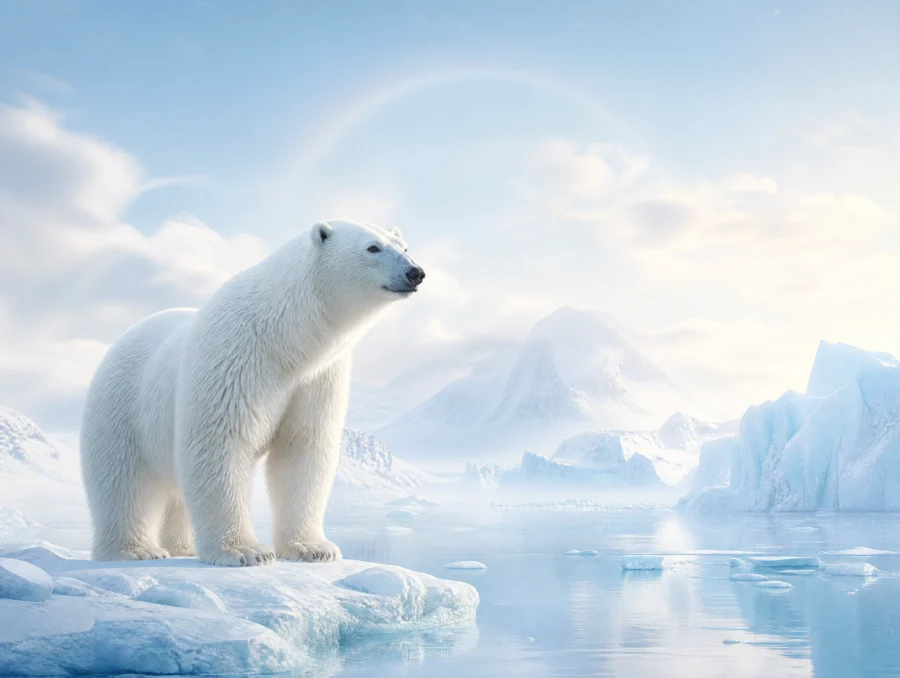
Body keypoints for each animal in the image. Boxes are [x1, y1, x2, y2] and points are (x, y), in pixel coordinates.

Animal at [79, 219, 425, 566]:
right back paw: (136, 550)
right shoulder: (235, 358)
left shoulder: (318, 378)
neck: (285, 337)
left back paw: (183, 548)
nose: (416, 272)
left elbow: (303, 447)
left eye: (404, 246)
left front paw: (313, 548)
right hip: (123, 406)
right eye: (372, 247)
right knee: (123, 481)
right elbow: (221, 442)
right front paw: (246, 551)